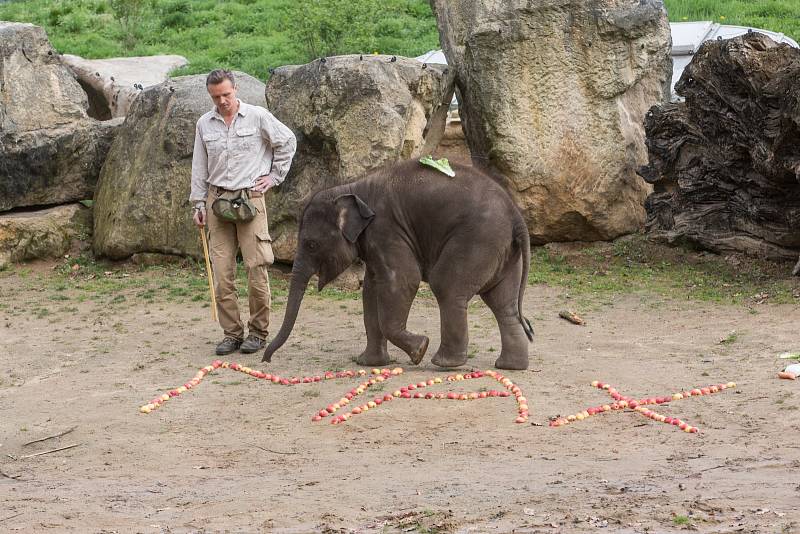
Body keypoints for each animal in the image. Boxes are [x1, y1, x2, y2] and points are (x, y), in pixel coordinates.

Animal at [262, 158, 536, 368]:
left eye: (310, 244)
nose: (266, 359)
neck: (351, 188)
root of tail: (515, 215)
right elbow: (371, 291)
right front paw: (368, 363)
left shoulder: (387, 229)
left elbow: (403, 280)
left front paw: (420, 350)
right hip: (503, 251)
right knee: (503, 302)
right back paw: (510, 366)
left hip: (478, 239)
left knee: (447, 287)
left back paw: (444, 363)